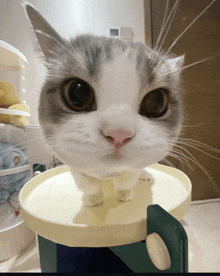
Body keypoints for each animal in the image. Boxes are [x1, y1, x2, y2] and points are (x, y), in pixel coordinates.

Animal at [23, 1, 185, 205]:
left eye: (156, 101)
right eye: (78, 92)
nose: (119, 133)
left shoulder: (131, 167)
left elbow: (127, 178)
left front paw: (124, 194)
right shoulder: (76, 166)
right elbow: (88, 183)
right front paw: (93, 199)